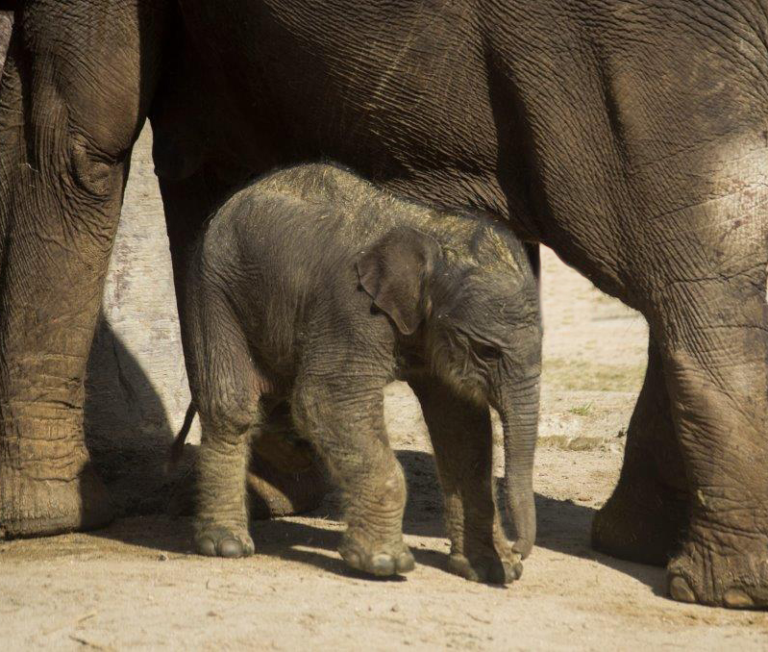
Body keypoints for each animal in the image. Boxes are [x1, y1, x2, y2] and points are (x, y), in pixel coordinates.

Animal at [182, 164, 540, 584]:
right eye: (487, 351)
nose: (519, 551)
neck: (430, 229)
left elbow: (460, 427)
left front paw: (491, 570)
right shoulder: (350, 309)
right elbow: (326, 400)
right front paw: (385, 564)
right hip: (213, 290)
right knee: (232, 407)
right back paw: (226, 545)